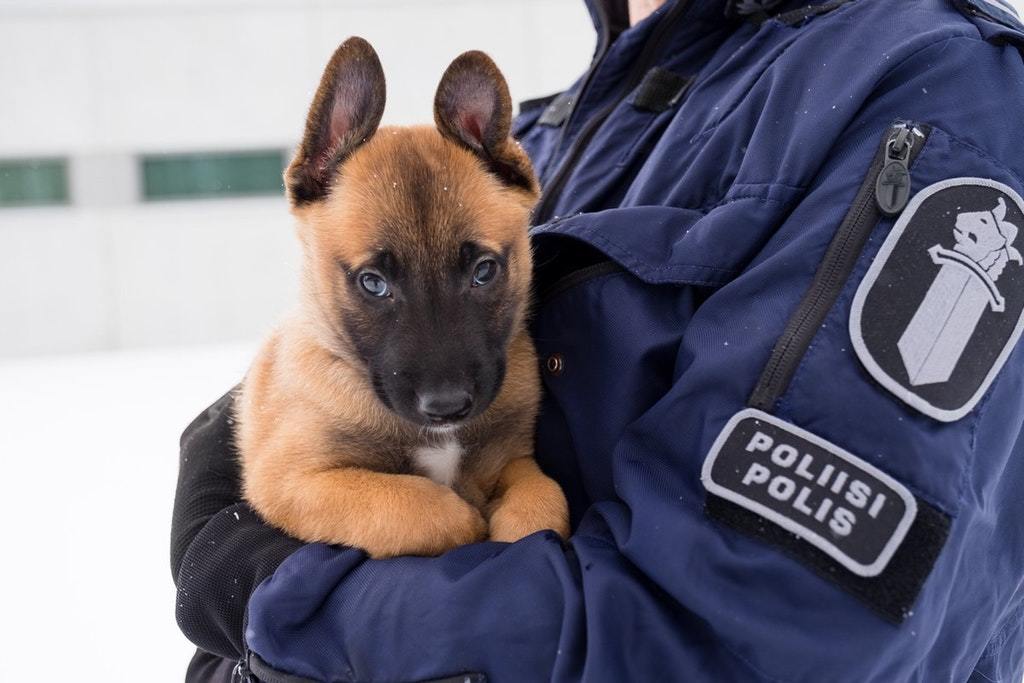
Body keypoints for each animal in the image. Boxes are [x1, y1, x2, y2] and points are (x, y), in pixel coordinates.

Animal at [234, 37, 573, 557]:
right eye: (373, 282)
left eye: (483, 271)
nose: (448, 406)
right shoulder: (294, 479)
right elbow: (414, 504)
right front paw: (468, 523)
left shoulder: (515, 459)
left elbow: (542, 502)